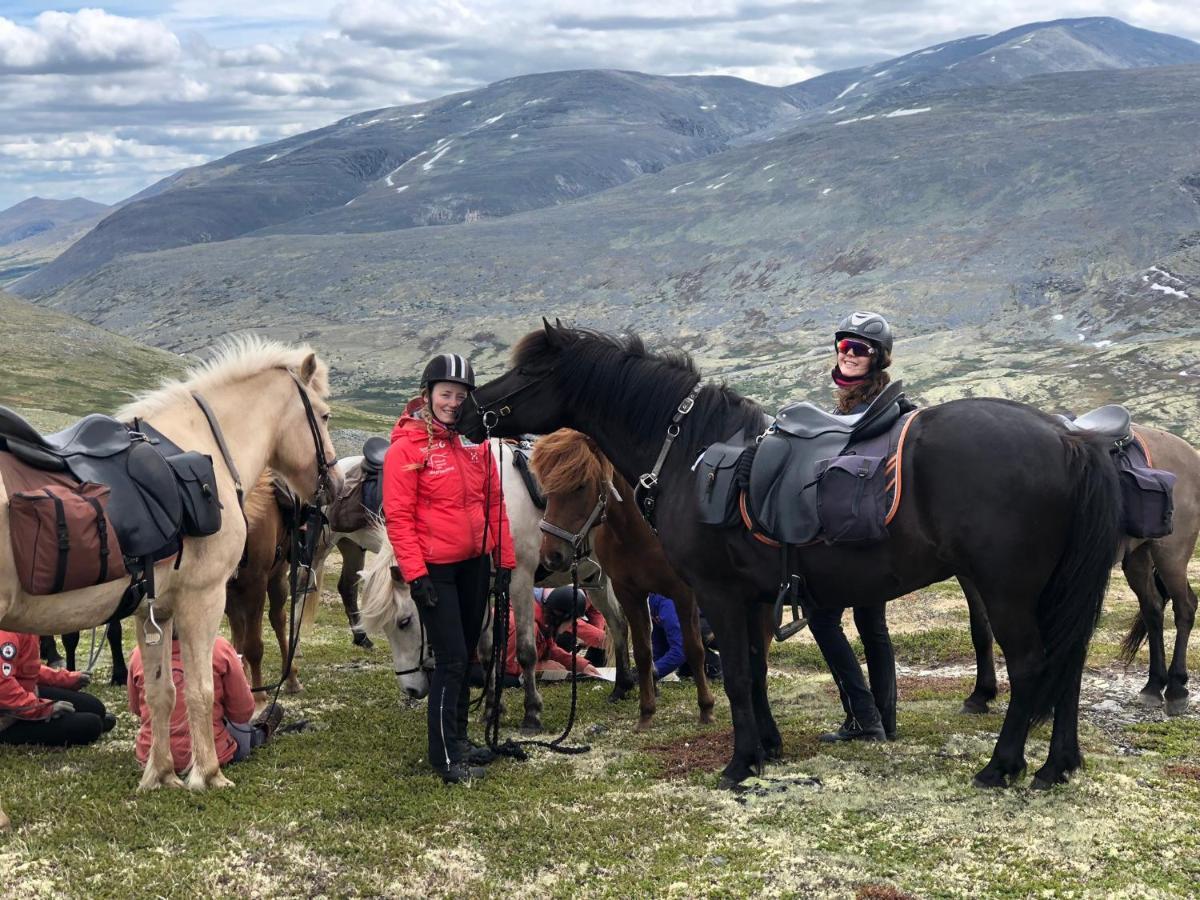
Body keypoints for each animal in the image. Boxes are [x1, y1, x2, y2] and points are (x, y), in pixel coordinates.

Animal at [525, 429, 710, 734]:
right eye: (545, 488)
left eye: (580, 486)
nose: (551, 555)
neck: (640, 533)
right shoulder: (629, 592)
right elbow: (644, 650)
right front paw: (646, 712)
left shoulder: (683, 593)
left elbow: (694, 648)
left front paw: (706, 708)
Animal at [960, 427, 1200, 715]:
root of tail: (1190, 453)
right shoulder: (971, 575)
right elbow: (981, 630)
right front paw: (980, 694)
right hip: (1138, 556)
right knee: (1152, 610)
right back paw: (1153, 686)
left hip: (1171, 555)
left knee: (1185, 608)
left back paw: (1177, 688)